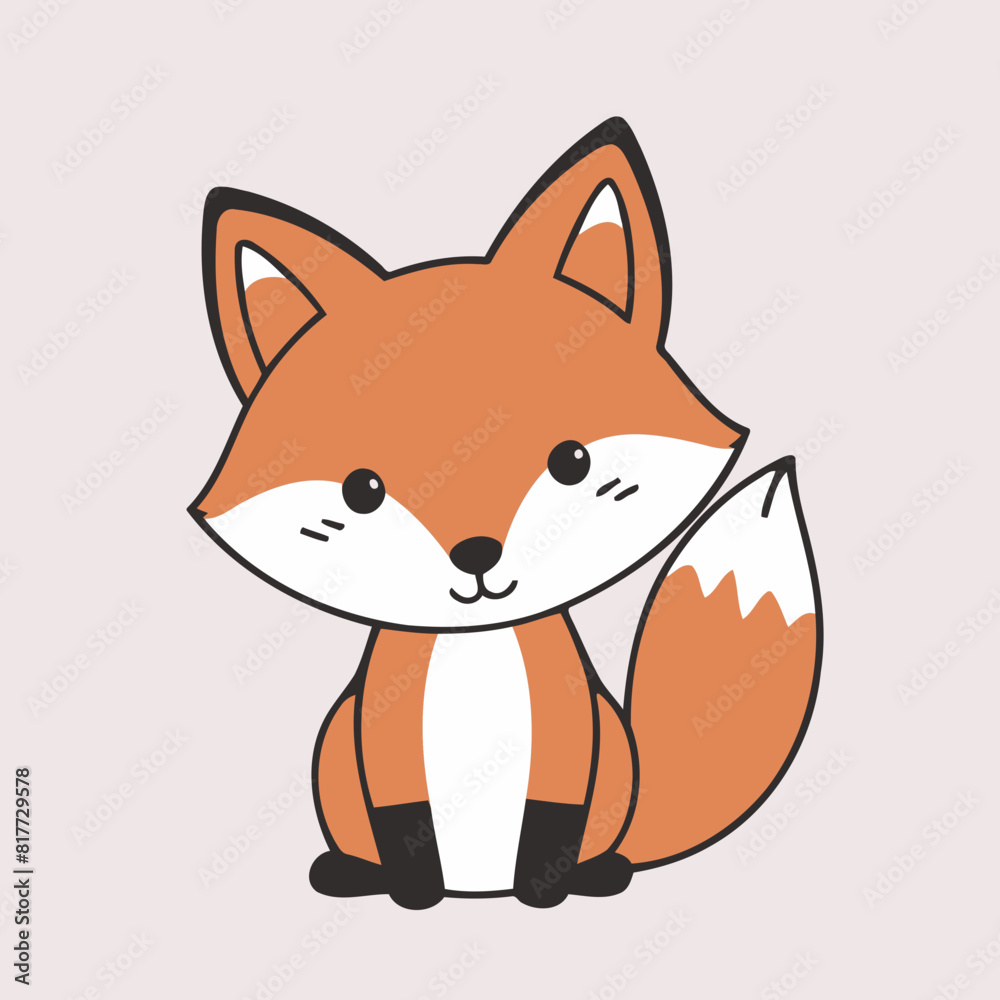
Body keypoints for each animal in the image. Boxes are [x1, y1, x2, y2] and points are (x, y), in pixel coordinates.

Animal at [189, 118, 822, 909]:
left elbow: (551, 819)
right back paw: (354, 874)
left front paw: (544, 890)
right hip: (335, 753)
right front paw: (415, 894)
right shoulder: (384, 742)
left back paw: (596, 873)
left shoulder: (567, 735)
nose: (477, 555)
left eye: (572, 461)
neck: (476, 648)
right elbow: (405, 823)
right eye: (362, 491)